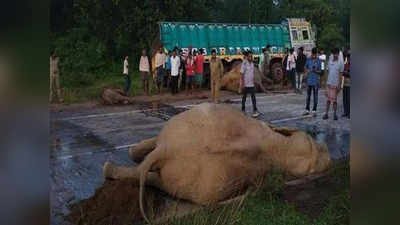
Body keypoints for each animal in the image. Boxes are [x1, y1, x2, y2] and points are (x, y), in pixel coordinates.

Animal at [103, 103, 332, 222]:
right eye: (311, 141)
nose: (328, 150)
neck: (282, 148)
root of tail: (168, 149)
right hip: (180, 123)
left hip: (187, 181)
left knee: (155, 176)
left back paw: (112, 167)